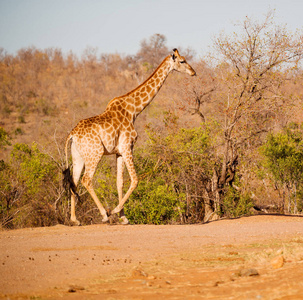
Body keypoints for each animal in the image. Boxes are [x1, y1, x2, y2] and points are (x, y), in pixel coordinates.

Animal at [64, 48, 197, 224]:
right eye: (182, 61)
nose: (193, 72)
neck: (134, 110)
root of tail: (72, 135)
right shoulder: (128, 146)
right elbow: (134, 180)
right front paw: (115, 211)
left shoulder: (119, 152)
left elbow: (119, 182)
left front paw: (123, 217)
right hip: (95, 153)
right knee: (87, 180)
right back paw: (104, 215)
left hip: (78, 156)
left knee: (74, 181)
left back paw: (74, 219)